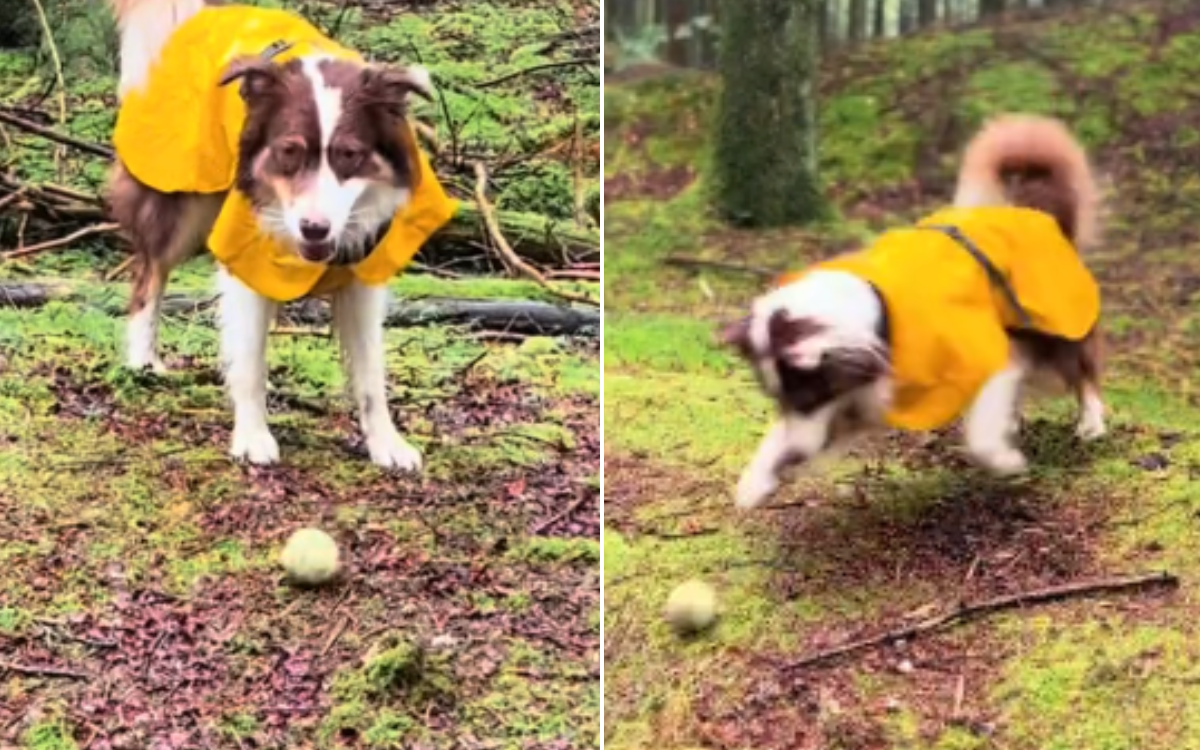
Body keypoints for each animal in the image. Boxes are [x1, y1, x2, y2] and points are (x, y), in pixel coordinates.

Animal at [105, 0, 458, 468]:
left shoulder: (363, 272)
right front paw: (253, 435)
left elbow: (370, 373)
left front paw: (386, 443)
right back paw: (143, 359)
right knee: (149, 275)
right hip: (181, 203)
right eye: (289, 151)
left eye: (350, 154)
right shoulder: (245, 254)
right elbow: (249, 360)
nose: (314, 228)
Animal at [720, 112, 1104, 508]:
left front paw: (1005, 461)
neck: (878, 314)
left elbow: (981, 434)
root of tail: (1040, 213)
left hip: (1054, 327)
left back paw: (1091, 422)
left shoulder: (986, 356)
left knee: (1082, 369)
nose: (796, 454)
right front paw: (755, 482)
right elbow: (777, 442)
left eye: (809, 397)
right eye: (779, 400)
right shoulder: (858, 400)